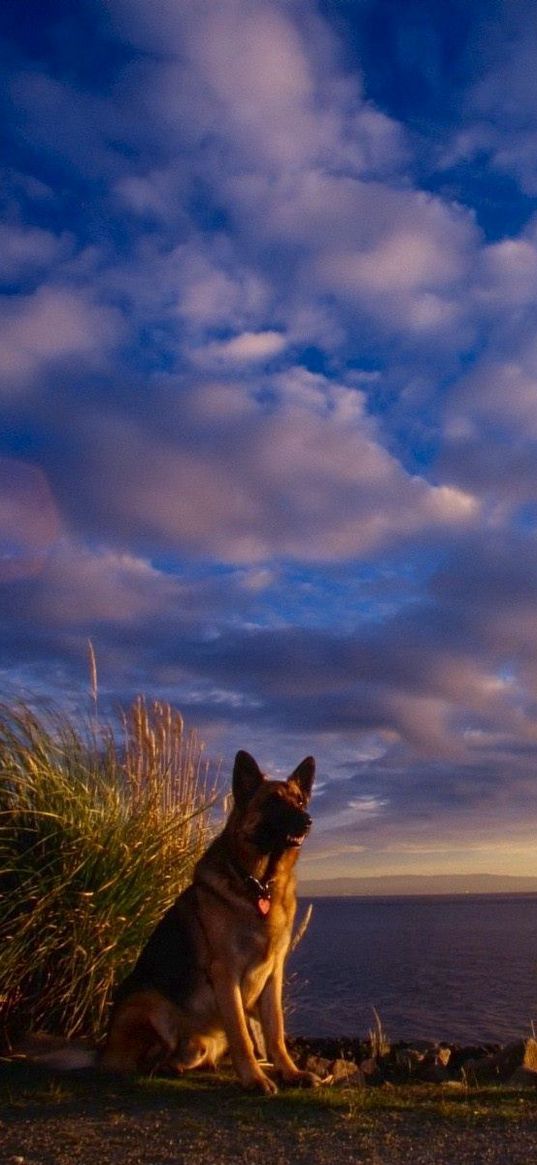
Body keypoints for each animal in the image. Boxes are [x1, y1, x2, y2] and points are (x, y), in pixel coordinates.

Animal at [99, 745, 319, 1090]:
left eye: (299, 801)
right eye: (272, 802)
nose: (307, 820)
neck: (259, 885)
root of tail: (102, 1050)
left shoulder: (273, 974)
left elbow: (276, 1031)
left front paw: (289, 1072)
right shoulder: (225, 973)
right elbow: (242, 1034)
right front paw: (254, 1079)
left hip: (201, 1041)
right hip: (149, 1004)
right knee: (141, 1060)